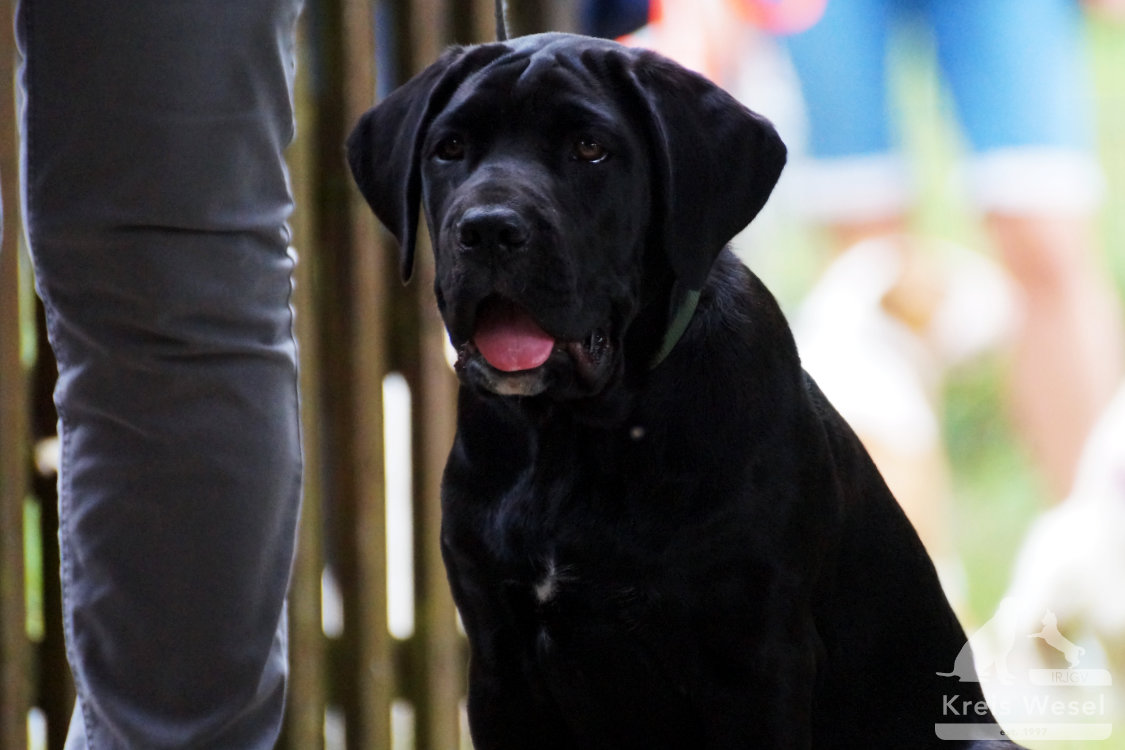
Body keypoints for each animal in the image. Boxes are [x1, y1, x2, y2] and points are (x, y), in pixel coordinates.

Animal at [346, 32, 1017, 746]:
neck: (574, 437)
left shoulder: (756, 664)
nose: (488, 229)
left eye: (591, 148)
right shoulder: (500, 665)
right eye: (449, 148)